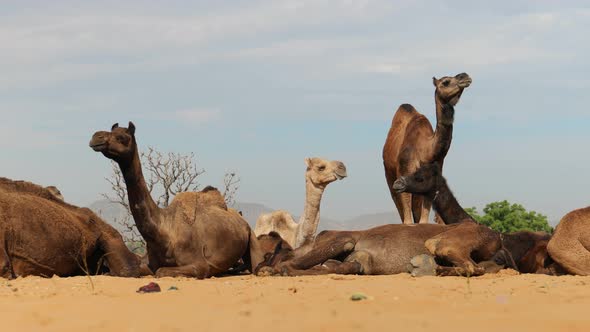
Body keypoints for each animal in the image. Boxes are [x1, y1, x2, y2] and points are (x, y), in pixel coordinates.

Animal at [89, 122, 288, 278]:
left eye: (122, 137)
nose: (96, 137)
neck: (164, 231)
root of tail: (242, 220)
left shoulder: (199, 264)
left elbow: (162, 271)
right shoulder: (148, 262)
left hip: (252, 238)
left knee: (258, 267)